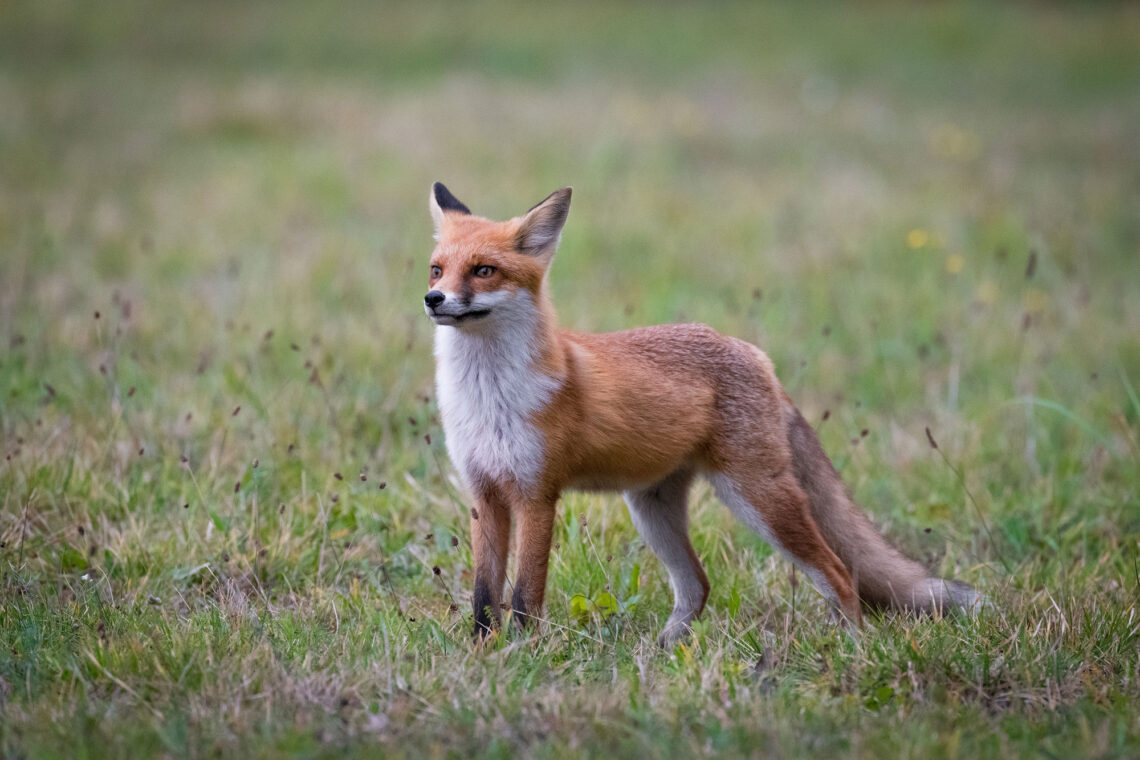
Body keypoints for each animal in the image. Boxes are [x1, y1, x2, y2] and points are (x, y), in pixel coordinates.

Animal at [424, 182, 975, 642]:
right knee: (698, 586)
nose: (433, 298)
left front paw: (523, 651)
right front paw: (482, 653)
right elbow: (483, 594)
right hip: (652, 510)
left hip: (757, 499)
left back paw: (853, 648)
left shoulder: (537, 495)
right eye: (436, 268)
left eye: (484, 271)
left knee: (841, 574)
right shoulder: (484, 493)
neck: (486, 395)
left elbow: (523, 595)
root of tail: (757, 356)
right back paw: (665, 651)